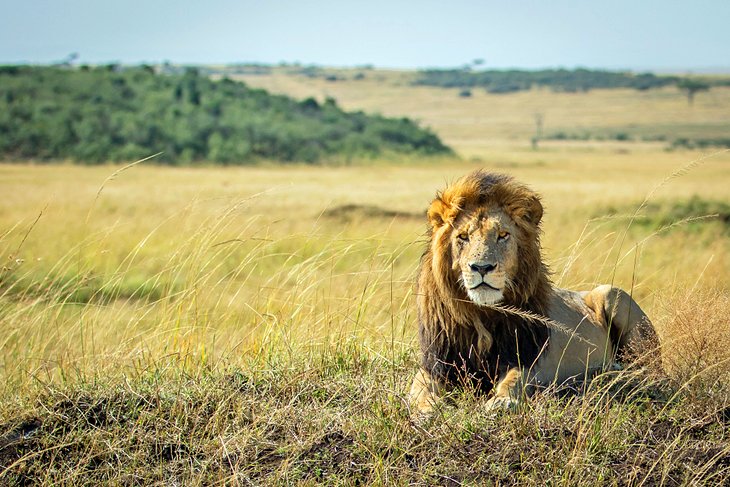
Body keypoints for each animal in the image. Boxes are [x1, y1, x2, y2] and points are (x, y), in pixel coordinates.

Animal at [406, 171, 656, 416]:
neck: (482, 314)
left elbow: (515, 379)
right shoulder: (437, 363)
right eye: (463, 237)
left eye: (503, 235)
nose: (482, 267)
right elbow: (419, 387)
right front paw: (429, 408)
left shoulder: (529, 358)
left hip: (613, 294)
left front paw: (502, 401)